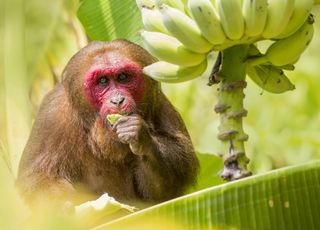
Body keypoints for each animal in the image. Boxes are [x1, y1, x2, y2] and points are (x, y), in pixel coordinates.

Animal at [16, 40, 199, 210]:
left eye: (123, 77)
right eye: (102, 81)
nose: (117, 100)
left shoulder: (159, 103)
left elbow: (168, 184)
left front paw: (140, 136)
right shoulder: (53, 114)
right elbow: (39, 177)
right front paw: (60, 208)